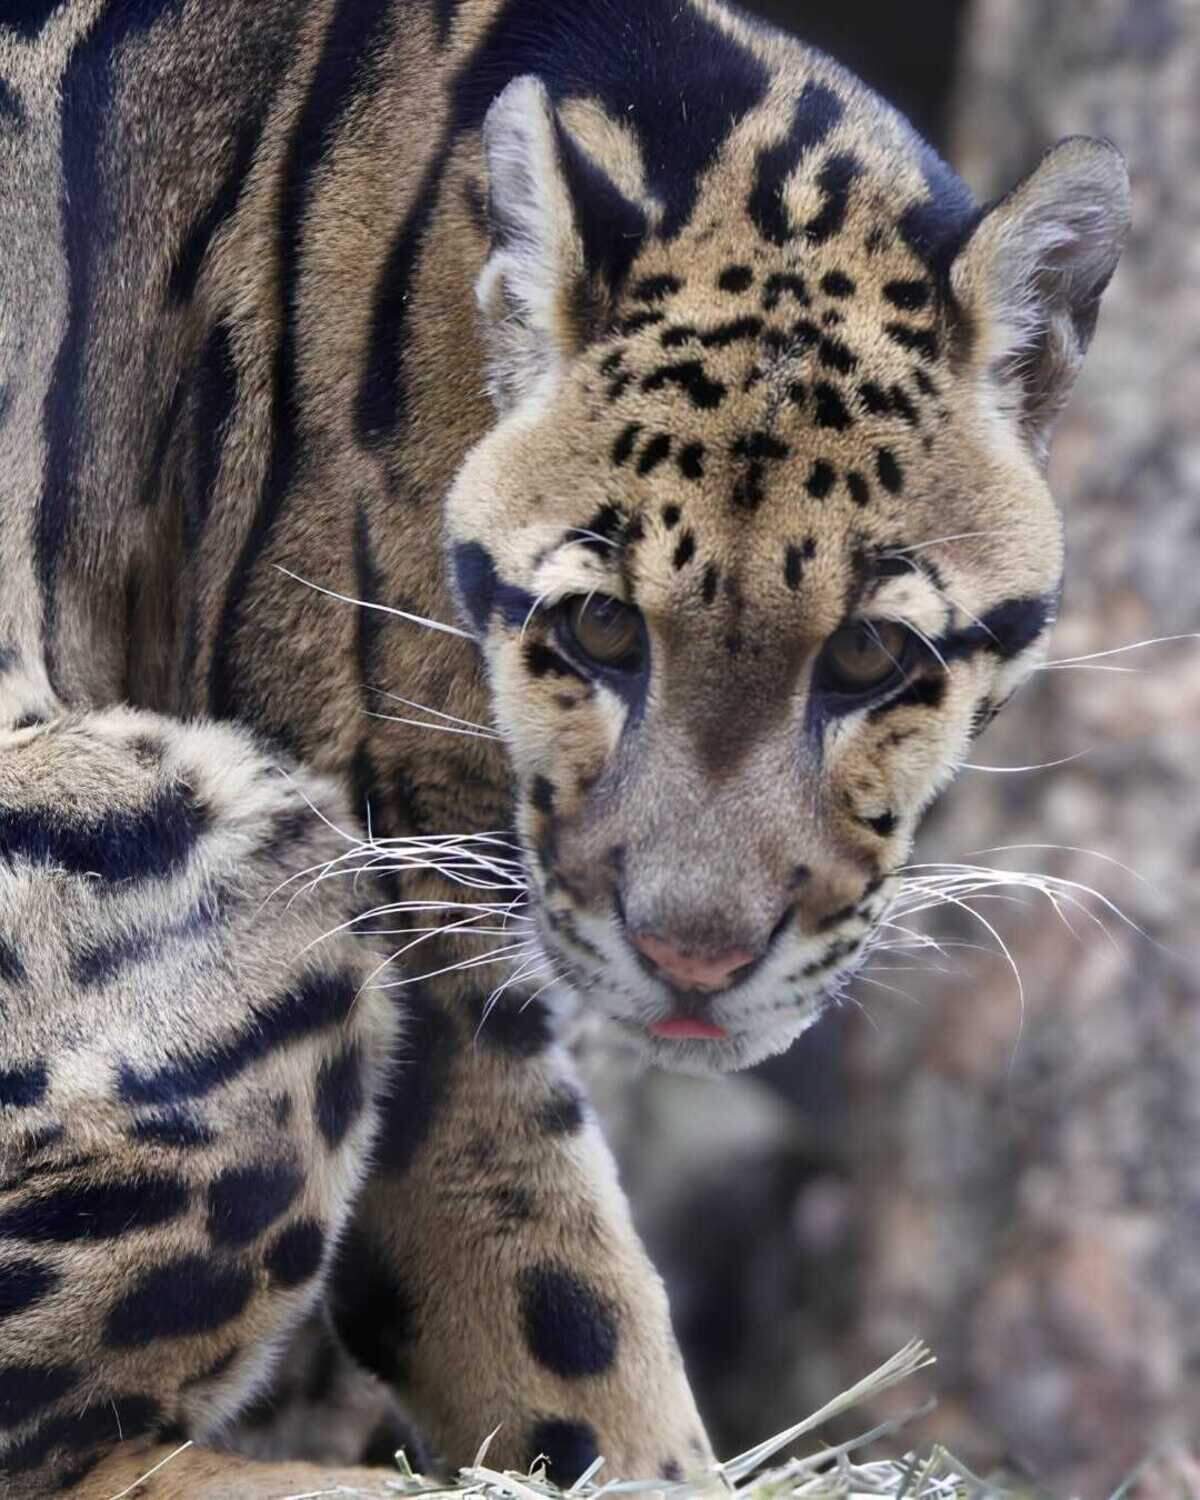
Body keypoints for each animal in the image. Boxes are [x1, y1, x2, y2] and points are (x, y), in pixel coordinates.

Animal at [0, 0, 1129, 1494]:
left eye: (871, 656)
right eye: (597, 628)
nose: (694, 959)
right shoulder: (416, 893)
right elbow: (562, 1305)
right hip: (239, 866)